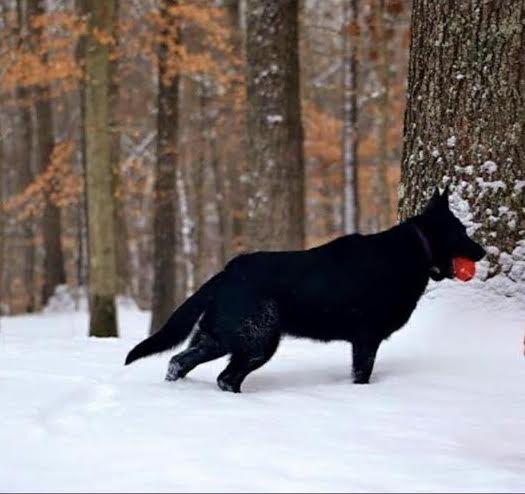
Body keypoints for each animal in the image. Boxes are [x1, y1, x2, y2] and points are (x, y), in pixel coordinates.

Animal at [125, 189, 486, 394]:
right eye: (462, 231)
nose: (483, 252)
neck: (414, 248)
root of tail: (226, 272)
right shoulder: (366, 340)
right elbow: (362, 375)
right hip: (257, 342)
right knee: (226, 377)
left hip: (218, 338)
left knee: (178, 361)